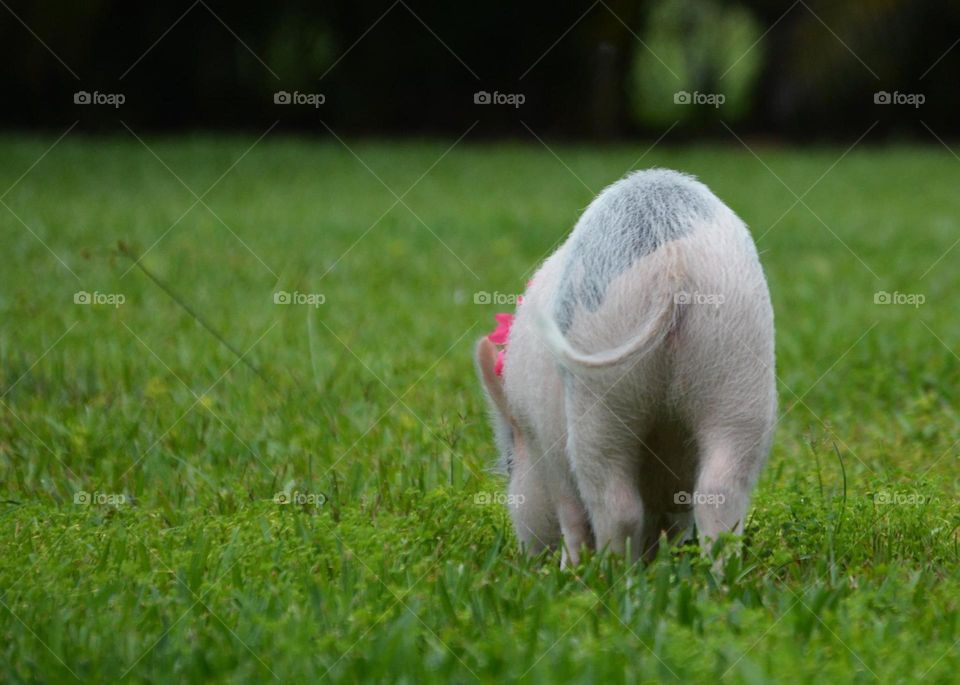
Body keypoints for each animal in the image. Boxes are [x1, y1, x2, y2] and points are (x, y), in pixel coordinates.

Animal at [475, 168, 776, 566]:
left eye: (510, 463)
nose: (528, 553)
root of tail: (673, 261)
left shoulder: (544, 441)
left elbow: (570, 513)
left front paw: (566, 566)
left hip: (601, 388)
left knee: (616, 504)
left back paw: (610, 572)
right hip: (739, 364)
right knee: (720, 493)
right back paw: (716, 573)